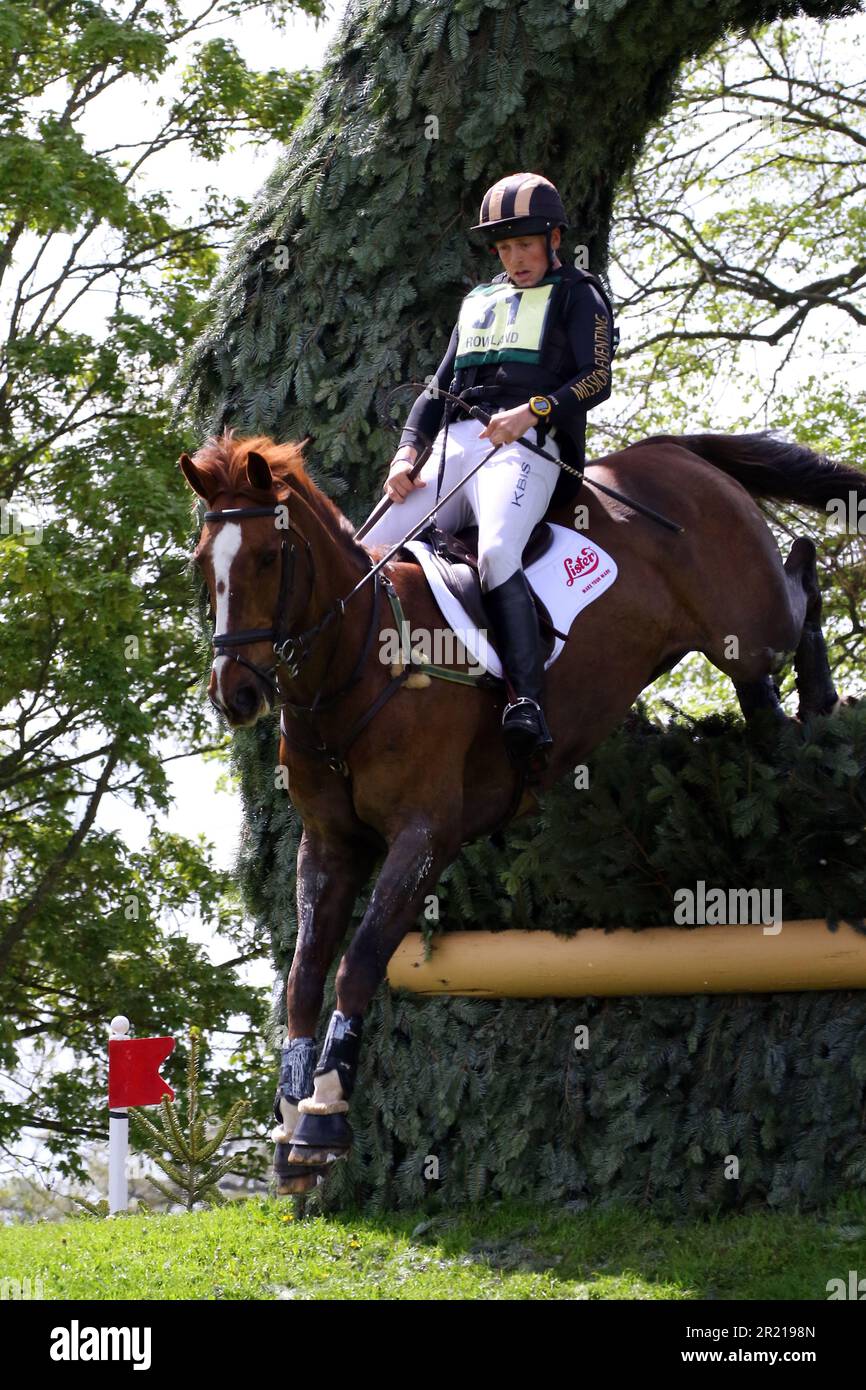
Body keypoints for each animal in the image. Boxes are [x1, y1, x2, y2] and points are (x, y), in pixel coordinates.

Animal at [179, 425, 861, 1195]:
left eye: (268, 558)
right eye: (204, 565)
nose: (234, 694)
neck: (357, 665)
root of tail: (670, 453)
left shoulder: (425, 834)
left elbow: (360, 960)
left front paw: (324, 1119)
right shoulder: (328, 843)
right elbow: (304, 973)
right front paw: (292, 1128)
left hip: (747, 624)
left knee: (800, 585)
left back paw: (822, 703)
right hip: (740, 648)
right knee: (764, 700)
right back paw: (797, 732)